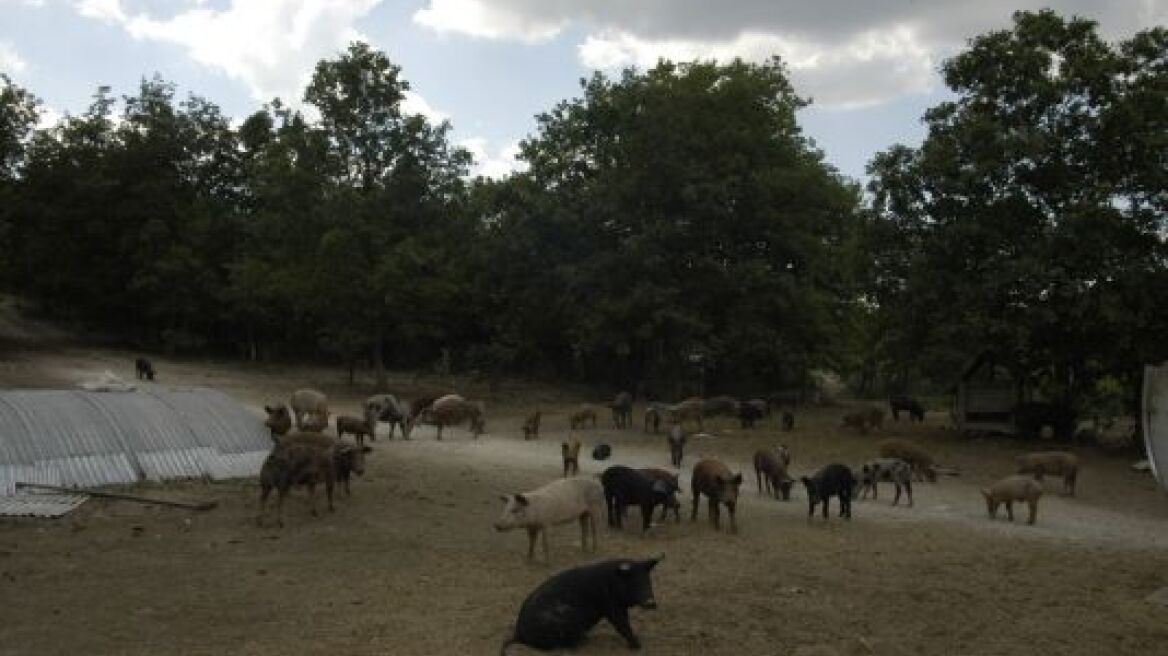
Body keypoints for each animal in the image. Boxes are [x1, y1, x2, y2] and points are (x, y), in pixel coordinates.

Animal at [497, 553, 663, 648]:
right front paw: (638, 645)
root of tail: (518, 633)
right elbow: (622, 623)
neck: (613, 582)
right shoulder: (610, 605)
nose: (651, 602)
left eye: (647, 580)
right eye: (633, 582)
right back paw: (583, 641)